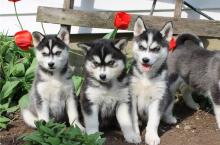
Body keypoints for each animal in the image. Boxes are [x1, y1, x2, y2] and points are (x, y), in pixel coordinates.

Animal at [131, 17, 177, 145]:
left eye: (156, 49)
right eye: (141, 47)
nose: (145, 60)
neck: (146, 76)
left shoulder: (158, 98)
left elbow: (154, 121)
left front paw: (151, 136)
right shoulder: (132, 96)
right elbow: (133, 118)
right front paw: (134, 134)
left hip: (169, 94)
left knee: (167, 109)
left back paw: (169, 117)